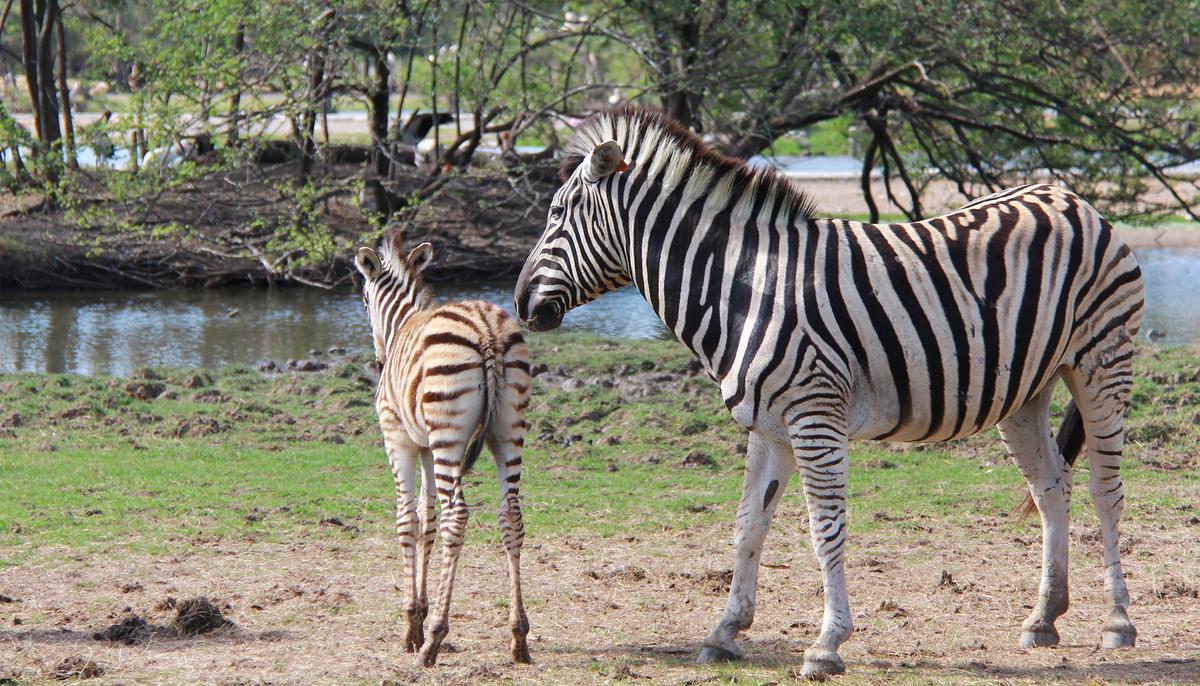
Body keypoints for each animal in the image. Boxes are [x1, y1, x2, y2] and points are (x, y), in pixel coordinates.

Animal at [355, 228, 533, 667]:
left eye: (364, 301)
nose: (379, 362)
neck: (403, 322)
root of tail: (486, 330)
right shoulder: (424, 447)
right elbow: (426, 521)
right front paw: (417, 615)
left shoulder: (398, 439)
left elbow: (407, 520)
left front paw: (411, 627)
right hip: (508, 429)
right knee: (511, 515)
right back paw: (518, 637)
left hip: (449, 436)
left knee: (458, 515)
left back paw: (435, 637)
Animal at [513, 106, 1143, 678]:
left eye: (555, 213)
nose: (518, 304)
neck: (743, 288)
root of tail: (1068, 196)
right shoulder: (768, 426)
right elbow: (747, 525)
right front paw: (725, 632)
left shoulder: (815, 418)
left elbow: (825, 530)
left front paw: (826, 644)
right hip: (1024, 390)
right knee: (1051, 486)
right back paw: (1044, 618)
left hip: (1101, 362)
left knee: (1105, 489)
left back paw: (1117, 623)